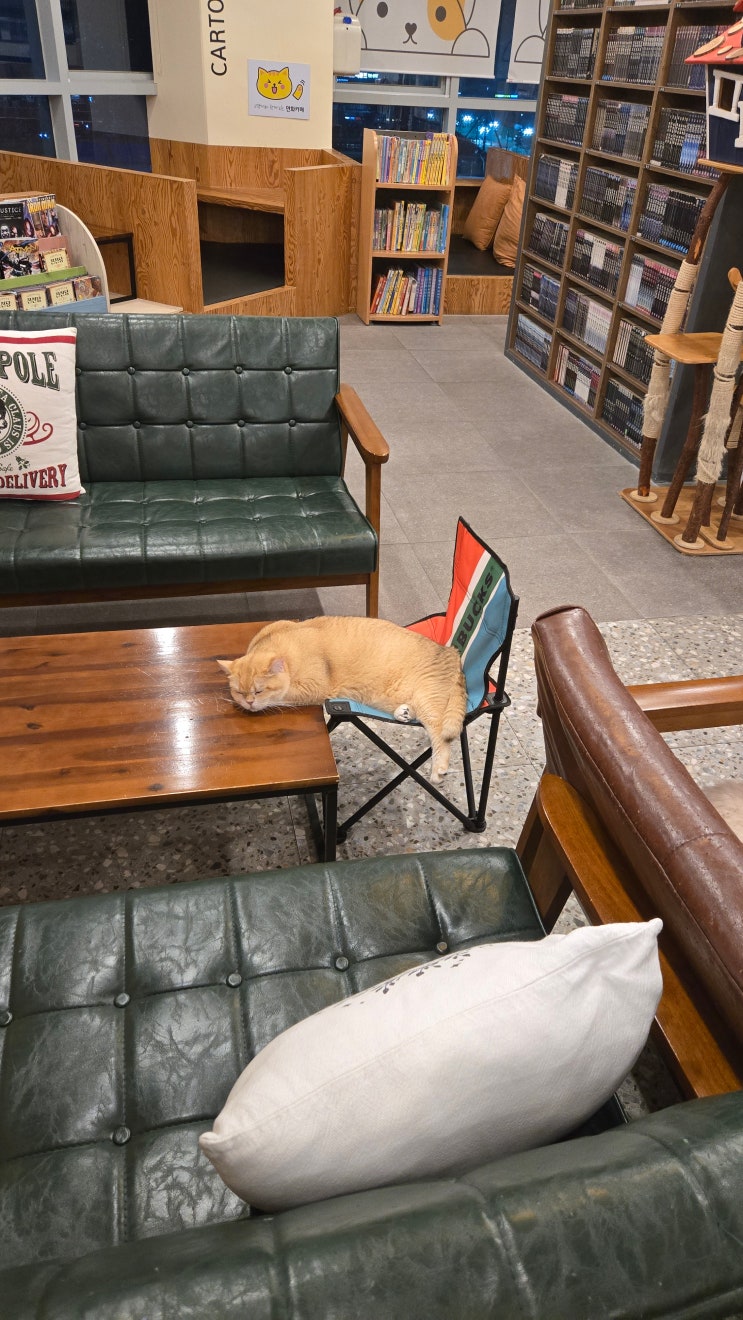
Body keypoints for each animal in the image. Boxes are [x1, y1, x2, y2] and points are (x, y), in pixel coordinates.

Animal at [217, 616, 466, 783]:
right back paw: (403, 713)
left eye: (259, 691)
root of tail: (452, 653)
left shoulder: (313, 687)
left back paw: (439, 768)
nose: (248, 702)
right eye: (239, 692)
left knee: (440, 734)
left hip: (428, 700)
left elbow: (283, 696)